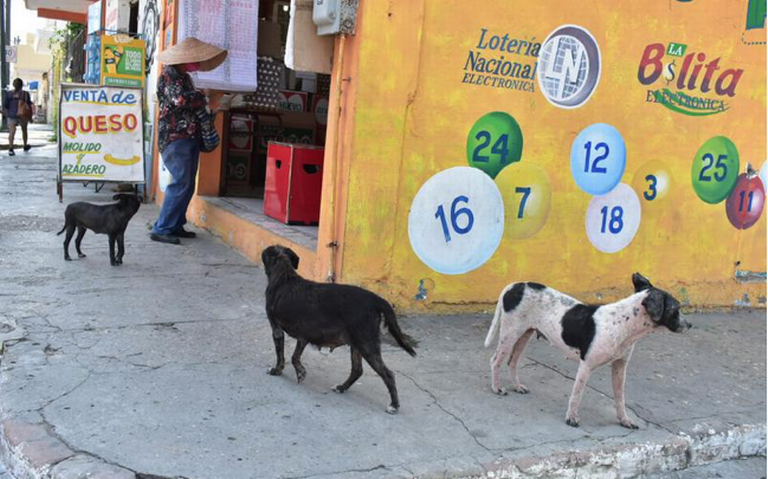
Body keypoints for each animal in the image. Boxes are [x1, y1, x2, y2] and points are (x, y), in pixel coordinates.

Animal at [262, 246, 420, 414]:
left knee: (388, 374)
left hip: (367, 345)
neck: (284, 275)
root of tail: (376, 300)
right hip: (357, 345)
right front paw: (300, 372)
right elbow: (295, 356)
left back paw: (394, 405)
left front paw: (277, 370)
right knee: (357, 370)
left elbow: (283, 356)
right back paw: (342, 387)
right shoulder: (303, 337)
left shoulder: (277, 330)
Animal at [486, 276, 688, 430]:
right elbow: (577, 395)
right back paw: (496, 388)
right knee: (495, 360)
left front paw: (624, 420)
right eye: (676, 309)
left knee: (512, 362)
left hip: (524, 334)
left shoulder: (620, 367)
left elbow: (620, 398)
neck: (624, 323)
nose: (690, 325)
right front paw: (571, 418)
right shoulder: (586, 365)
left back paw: (517, 386)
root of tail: (515, 285)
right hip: (509, 334)